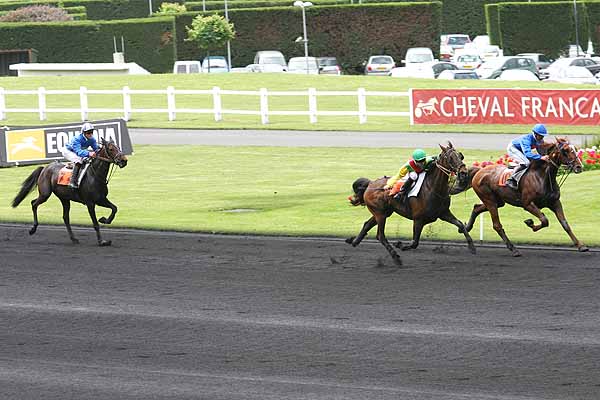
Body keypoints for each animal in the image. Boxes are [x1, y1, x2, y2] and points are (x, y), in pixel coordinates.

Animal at [344, 142, 476, 268]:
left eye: (460, 156)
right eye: (450, 158)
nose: (464, 173)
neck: (432, 188)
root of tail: (370, 184)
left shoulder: (443, 213)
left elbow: (460, 224)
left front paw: (472, 247)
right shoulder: (418, 219)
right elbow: (414, 242)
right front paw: (400, 245)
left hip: (383, 212)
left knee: (367, 224)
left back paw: (354, 241)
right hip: (380, 214)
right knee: (380, 236)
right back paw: (396, 257)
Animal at [454, 137, 584, 256]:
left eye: (575, 149)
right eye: (565, 150)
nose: (579, 166)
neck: (542, 176)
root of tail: (479, 171)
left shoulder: (555, 202)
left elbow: (565, 224)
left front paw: (581, 246)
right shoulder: (528, 204)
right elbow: (544, 220)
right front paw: (530, 223)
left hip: (497, 201)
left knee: (476, 207)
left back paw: (465, 228)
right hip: (489, 200)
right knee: (497, 225)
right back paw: (514, 249)